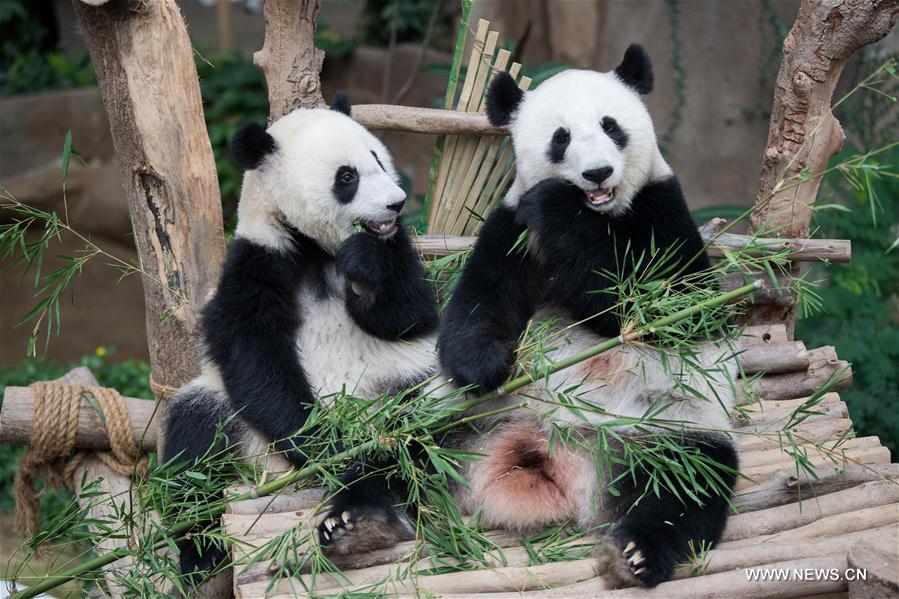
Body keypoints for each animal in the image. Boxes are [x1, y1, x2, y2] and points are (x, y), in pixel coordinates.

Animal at [165, 96, 442, 584]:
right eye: (346, 177)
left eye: (377, 159)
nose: (396, 204)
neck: (317, 251)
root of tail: (266, 471)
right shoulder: (258, 263)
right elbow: (254, 357)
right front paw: (324, 443)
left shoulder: (399, 254)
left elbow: (411, 315)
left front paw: (369, 264)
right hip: (230, 419)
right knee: (191, 444)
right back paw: (199, 551)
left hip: (402, 384)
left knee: (424, 427)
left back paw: (362, 516)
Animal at [440, 47, 740, 592]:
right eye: (561, 137)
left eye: (610, 125)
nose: (598, 173)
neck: (601, 213)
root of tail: (554, 457)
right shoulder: (512, 226)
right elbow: (481, 296)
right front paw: (484, 364)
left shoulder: (664, 210)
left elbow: (661, 304)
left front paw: (558, 206)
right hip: (468, 419)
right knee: (390, 451)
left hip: (670, 429)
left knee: (686, 485)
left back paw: (633, 554)